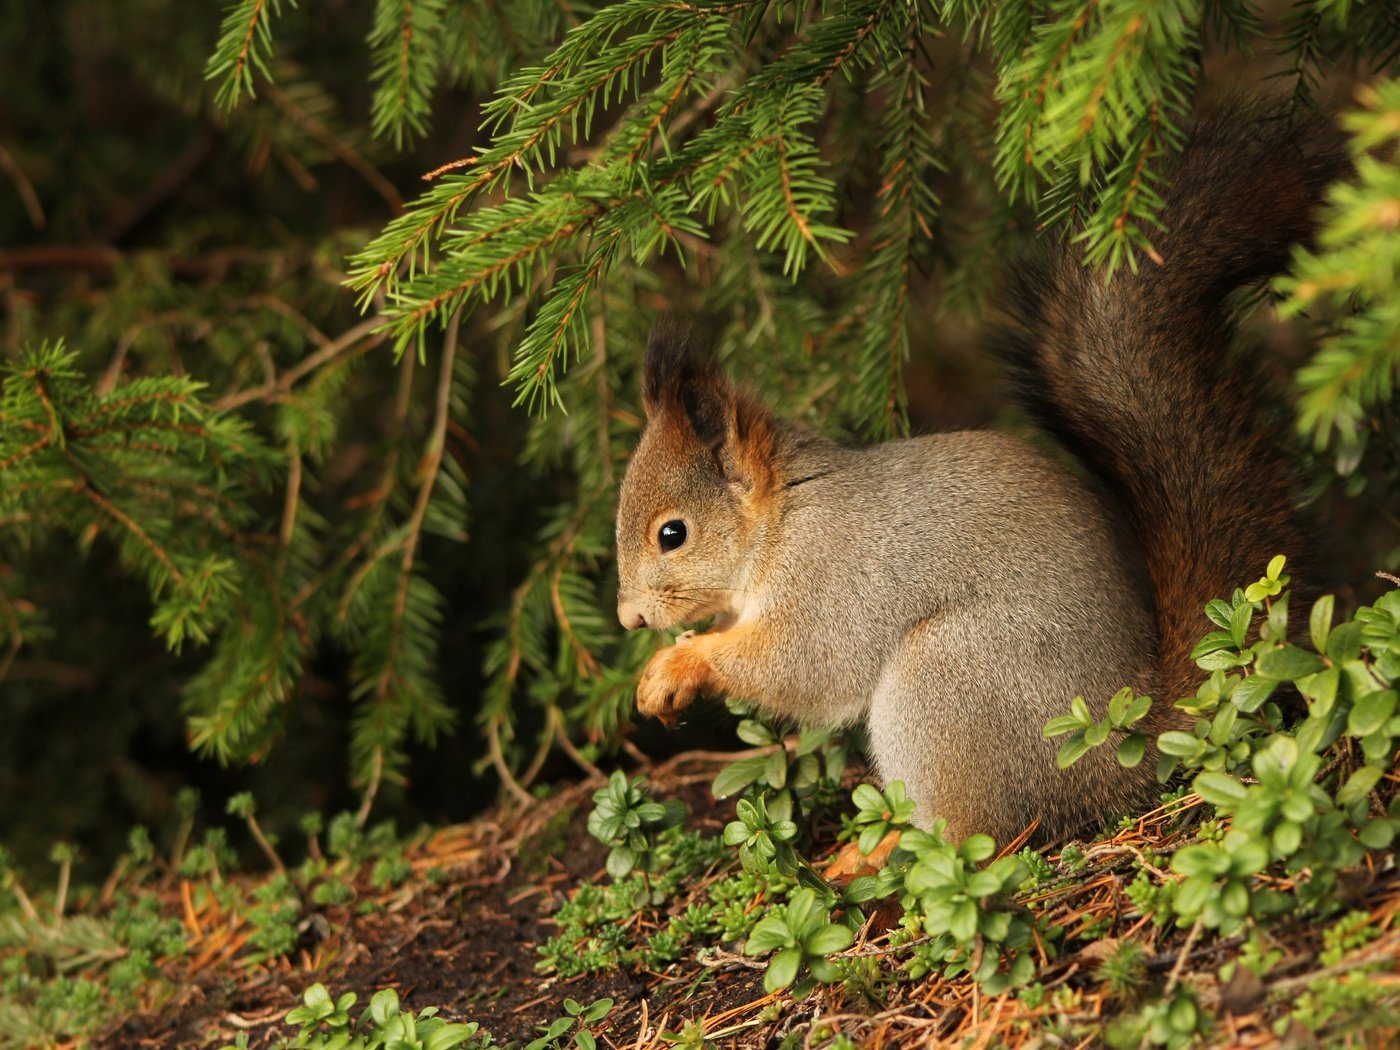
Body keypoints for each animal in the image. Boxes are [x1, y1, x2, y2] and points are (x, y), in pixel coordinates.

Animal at [616, 109, 1355, 845]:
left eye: (672, 534)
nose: (629, 618)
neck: (782, 523)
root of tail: (1119, 743)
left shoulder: (832, 580)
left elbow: (806, 664)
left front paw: (681, 664)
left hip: (949, 680)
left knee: (975, 835)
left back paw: (877, 855)